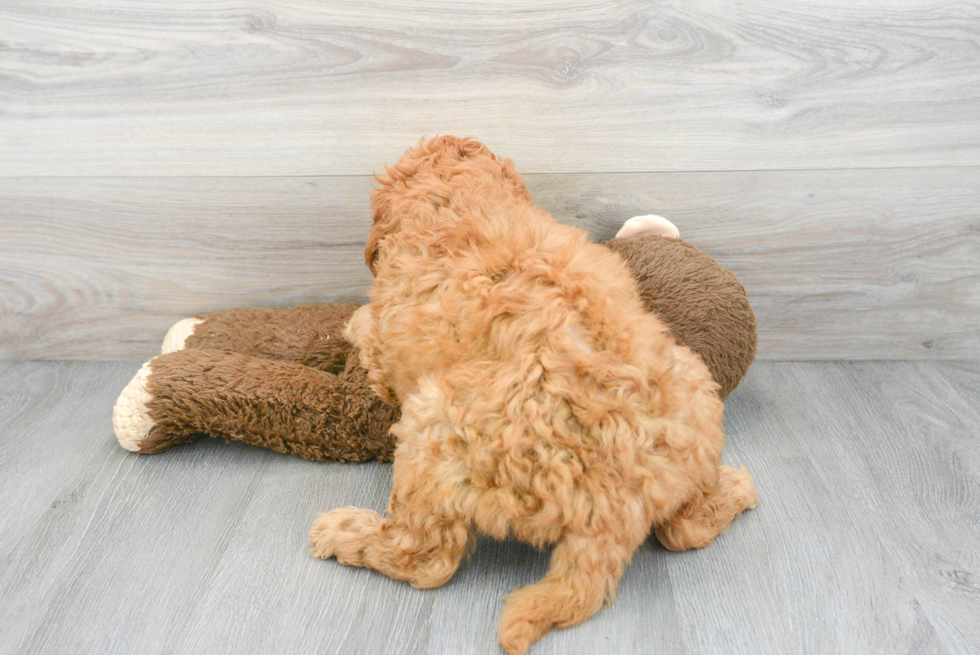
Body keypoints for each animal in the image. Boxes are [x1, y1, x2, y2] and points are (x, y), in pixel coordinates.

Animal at [312, 136, 756, 652]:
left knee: (427, 559)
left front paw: (352, 322)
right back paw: (737, 488)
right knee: (685, 529)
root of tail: (614, 507)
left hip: (431, 424)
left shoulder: (388, 343)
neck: (462, 199)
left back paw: (343, 532)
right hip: (695, 389)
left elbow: (370, 336)